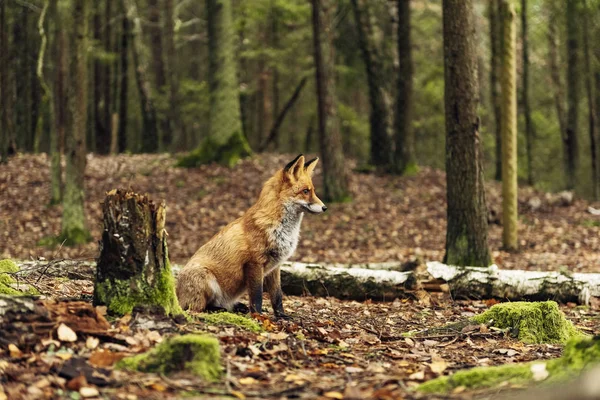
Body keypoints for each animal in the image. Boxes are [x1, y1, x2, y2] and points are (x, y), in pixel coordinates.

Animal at [177, 154, 328, 318]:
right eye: (305, 191)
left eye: (313, 191)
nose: (325, 207)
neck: (281, 230)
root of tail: (176, 295)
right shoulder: (254, 263)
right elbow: (257, 296)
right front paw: (258, 316)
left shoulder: (276, 266)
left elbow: (277, 295)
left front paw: (281, 315)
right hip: (206, 278)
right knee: (197, 308)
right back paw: (219, 310)